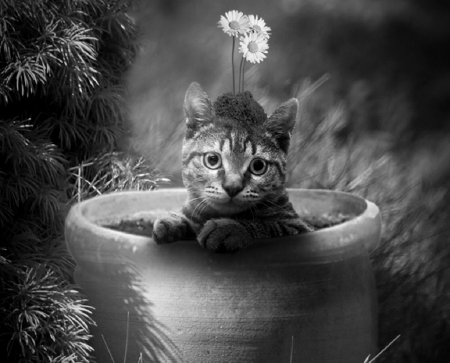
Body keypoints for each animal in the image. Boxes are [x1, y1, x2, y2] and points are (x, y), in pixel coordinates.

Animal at [152, 82, 312, 253]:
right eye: (212, 159)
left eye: (258, 166)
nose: (232, 187)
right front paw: (174, 220)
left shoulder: (297, 226)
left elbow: (268, 225)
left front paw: (230, 227)